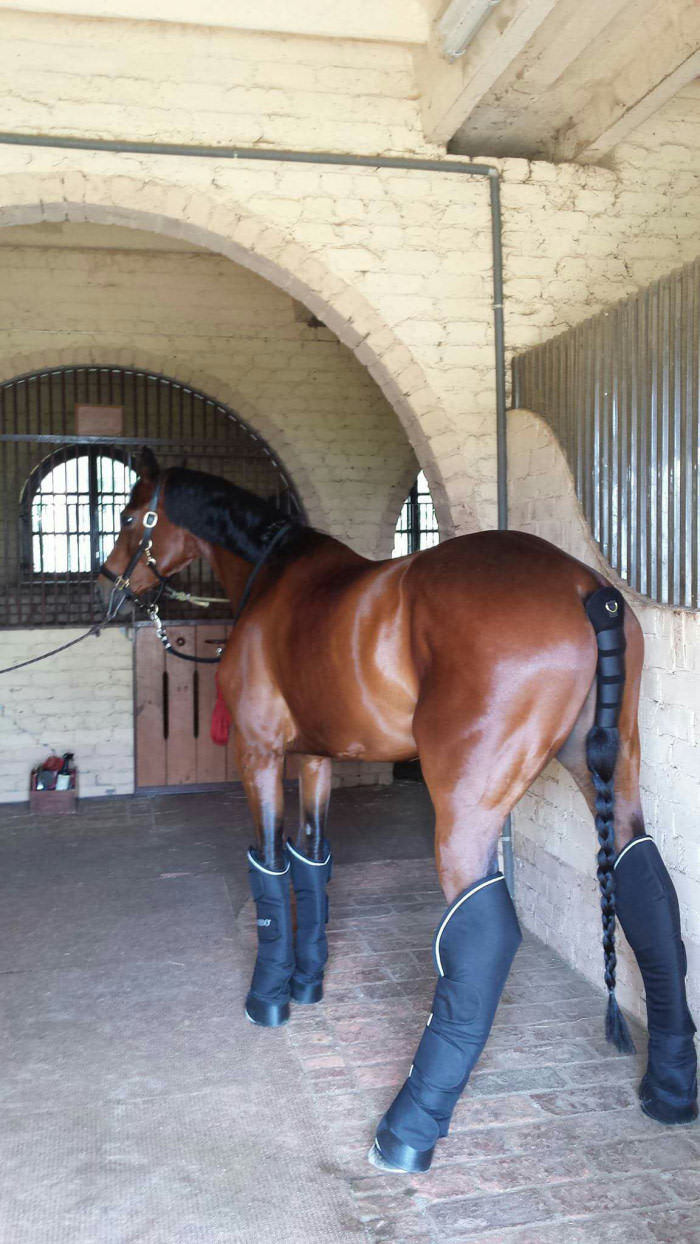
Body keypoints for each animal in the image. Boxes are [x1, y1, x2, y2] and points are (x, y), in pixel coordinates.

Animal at [100, 449, 697, 1173]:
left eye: (130, 514)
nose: (108, 581)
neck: (273, 577)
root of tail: (589, 588)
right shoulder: (317, 758)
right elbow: (312, 863)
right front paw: (307, 982)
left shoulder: (260, 752)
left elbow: (269, 868)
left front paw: (269, 996)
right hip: (609, 770)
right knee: (647, 890)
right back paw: (670, 1087)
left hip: (466, 806)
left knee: (483, 934)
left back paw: (407, 1129)